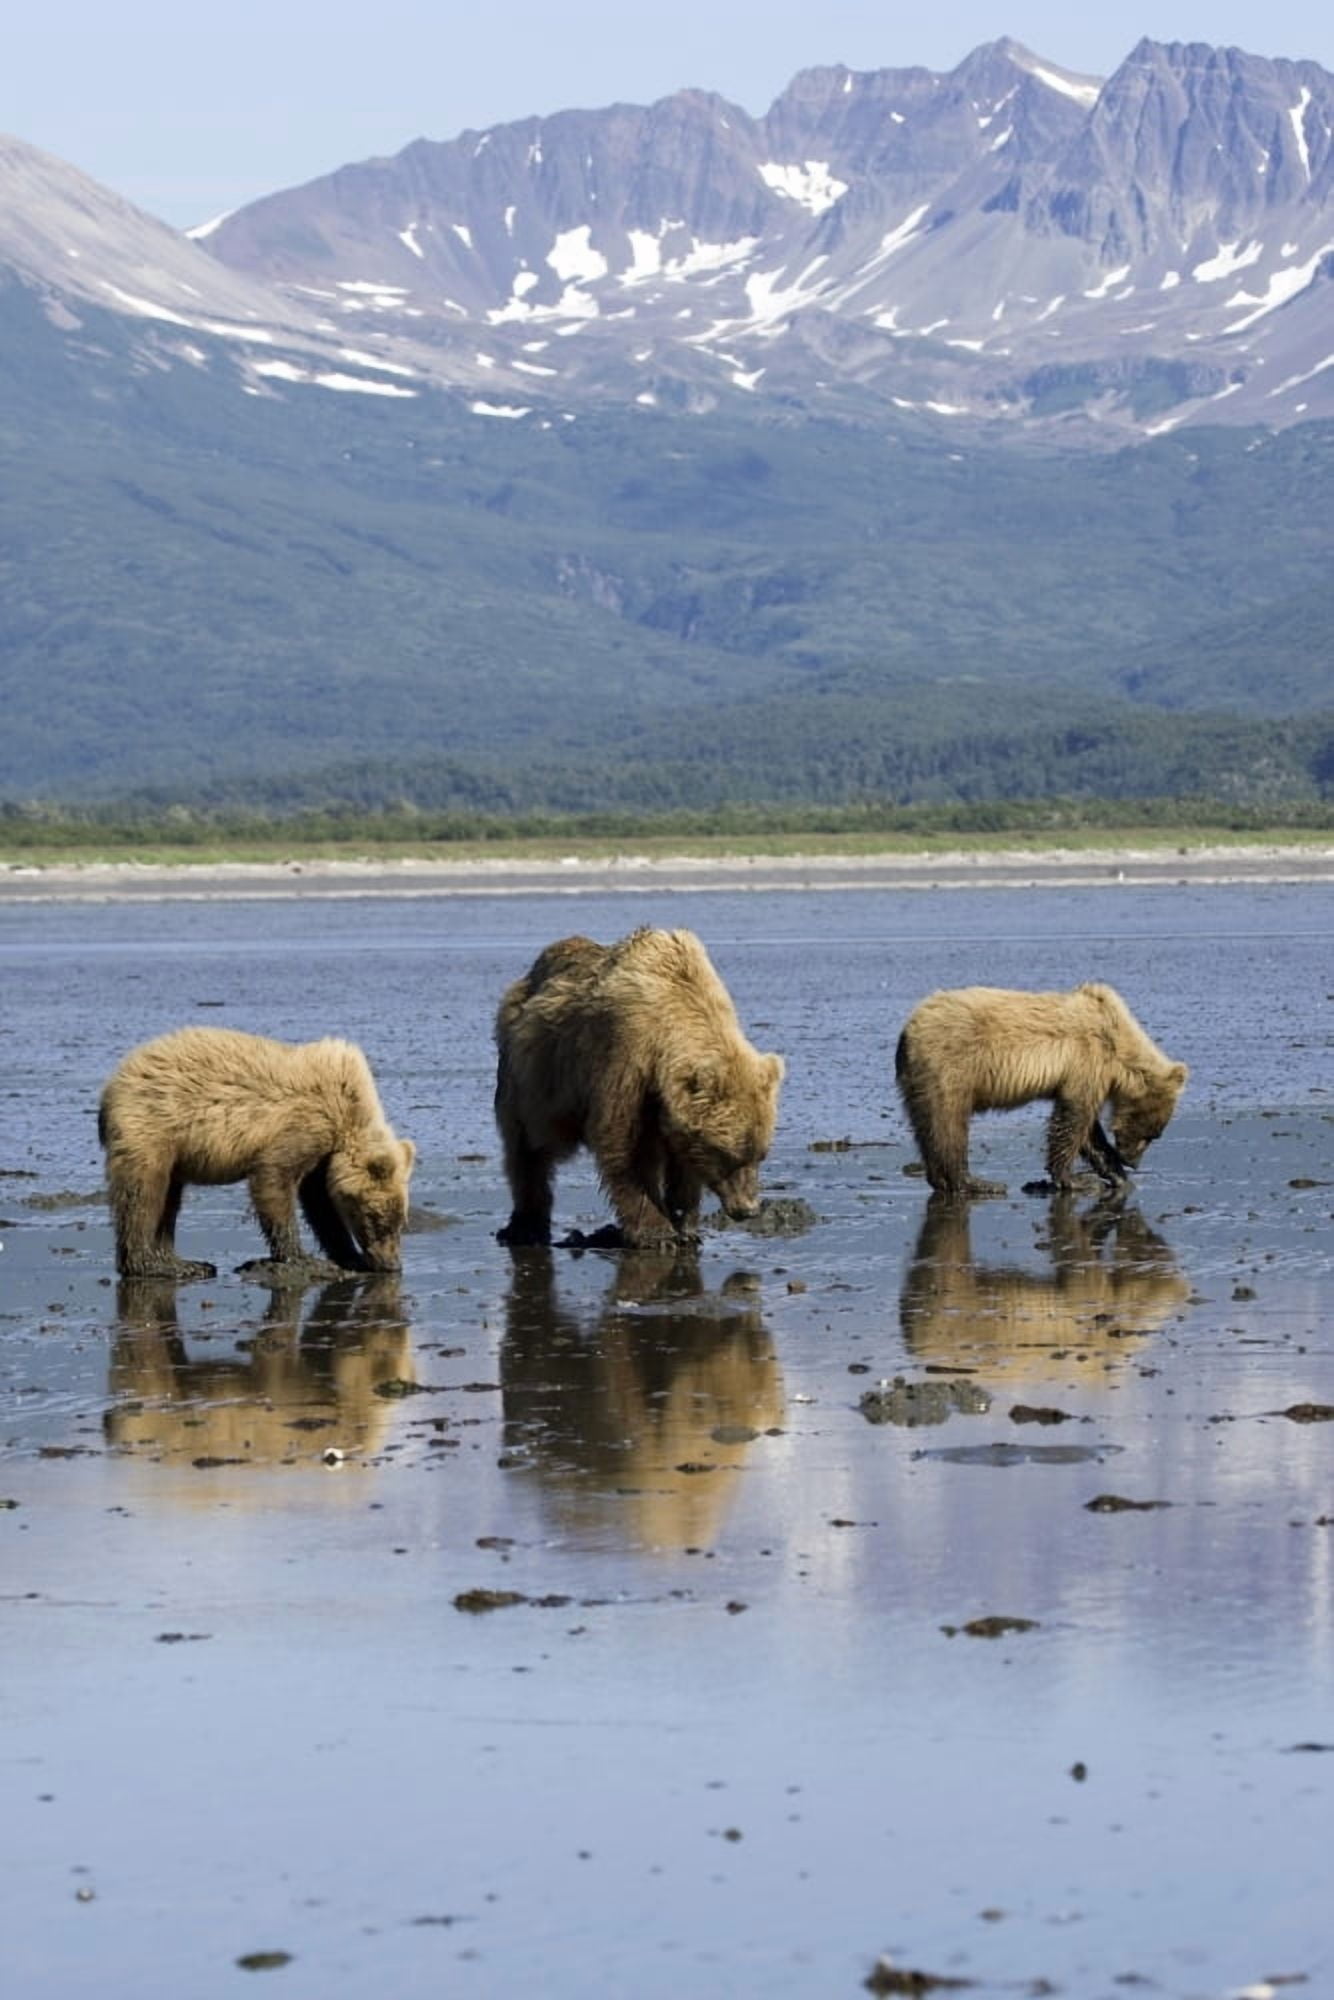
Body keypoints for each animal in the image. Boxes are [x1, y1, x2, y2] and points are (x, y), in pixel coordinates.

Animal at [98, 1026, 416, 1279]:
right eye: (376, 1218)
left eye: (402, 1221)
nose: (391, 1264)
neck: (348, 1114)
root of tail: (113, 1083)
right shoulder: (302, 1125)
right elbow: (274, 1179)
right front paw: (303, 1259)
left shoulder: (322, 1156)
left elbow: (319, 1204)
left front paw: (348, 1255)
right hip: (152, 1126)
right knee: (143, 1193)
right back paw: (154, 1264)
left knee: (169, 1198)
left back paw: (181, 1261)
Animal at [493, 926, 785, 1248]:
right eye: (728, 1155)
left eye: (761, 1154)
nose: (747, 1209)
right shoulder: (627, 1058)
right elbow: (623, 1145)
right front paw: (658, 1233)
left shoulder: (671, 1107)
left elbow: (683, 1160)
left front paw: (685, 1224)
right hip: (534, 1080)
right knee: (527, 1148)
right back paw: (526, 1225)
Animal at [895, 981, 1187, 1198]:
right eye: (1152, 1135)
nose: (1133, 1162)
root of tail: (907, 1031)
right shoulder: (1087, 1060)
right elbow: (1073, 1119)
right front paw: (1075, 1179)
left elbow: (1088, 1130)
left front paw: (1117, 1175)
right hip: (950, 1067)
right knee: (949, 1123)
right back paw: (976, 1182)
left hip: (918, 1080)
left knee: (925, 1127)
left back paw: (941, 1179)